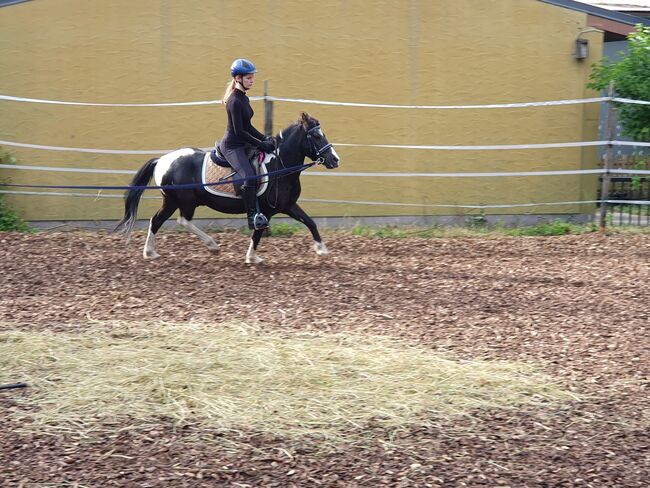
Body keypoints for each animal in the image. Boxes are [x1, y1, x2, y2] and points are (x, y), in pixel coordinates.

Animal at [114, 111, 340, 264]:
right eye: (316, 136)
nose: (335, 160)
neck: (279, 165)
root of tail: (162, 160)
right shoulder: (266, 211)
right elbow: (258, 232)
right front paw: (252, 258)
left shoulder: (288, 206)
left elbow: (310, 222)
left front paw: (322, 250)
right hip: (183, 200)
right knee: (181, 220)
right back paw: (212, 245)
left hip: (172, 201)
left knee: (157, 220)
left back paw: (150, 252)